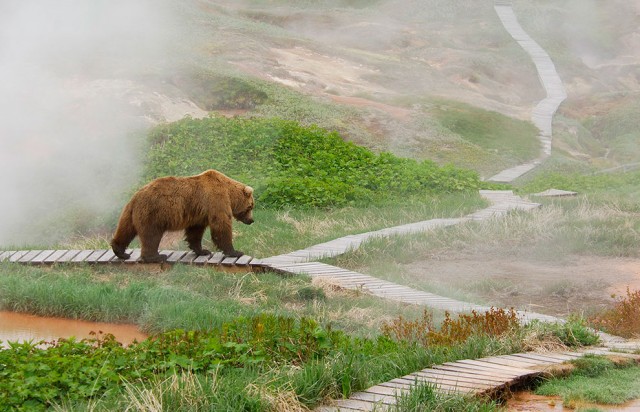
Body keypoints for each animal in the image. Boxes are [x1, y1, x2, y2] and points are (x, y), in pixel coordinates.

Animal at [112, 169, 255, 262]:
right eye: (250, 206)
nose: (251, 220)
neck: (229, 193)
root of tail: (135, 197)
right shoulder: (216, 200)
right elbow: (221, 226)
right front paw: (235, 252)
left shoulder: (199, 213)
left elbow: (195, 232)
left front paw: (202, 251)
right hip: (152, 213)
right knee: (151, 235)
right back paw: (156, 257)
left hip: (130, 214)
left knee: (126, 230)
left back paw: (120, 252)